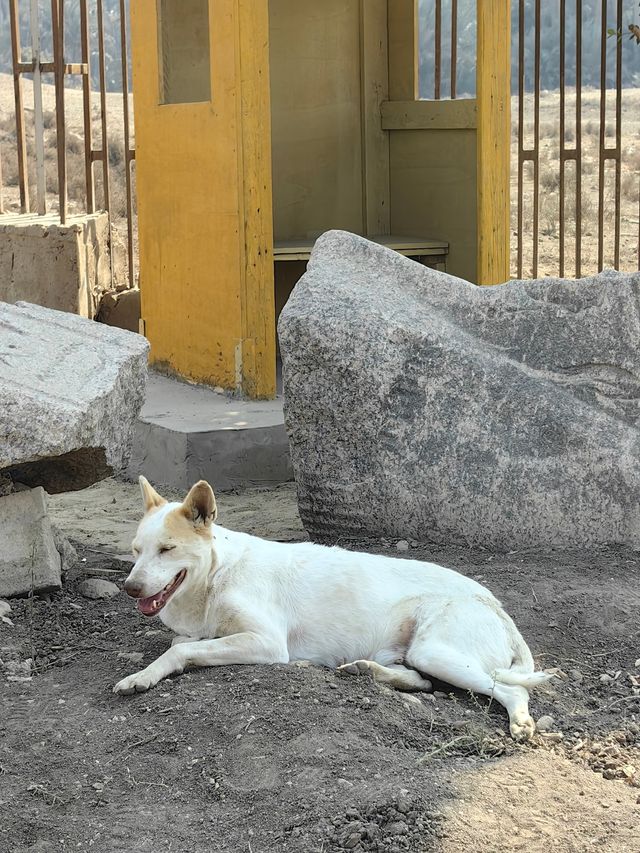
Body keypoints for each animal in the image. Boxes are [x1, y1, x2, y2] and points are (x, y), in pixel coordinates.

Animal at [114, 476, 552, 736]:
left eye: (167, 549)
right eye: (135, 551)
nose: (130, 588)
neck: (217, 573)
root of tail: (494, 603)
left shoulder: (267, 642)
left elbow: (181, 650)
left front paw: (142, 676)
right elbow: (181, 643)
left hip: (438, 652)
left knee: (511, 689)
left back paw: (520, 722)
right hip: (415, 654)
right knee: (420, 681)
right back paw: (361, 670)